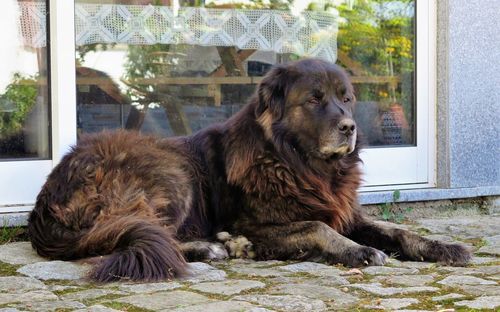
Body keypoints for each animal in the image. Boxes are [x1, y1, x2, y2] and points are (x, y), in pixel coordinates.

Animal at [27, 57, 472, 282]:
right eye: (314, 99)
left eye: (345, 98)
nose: (349, 127)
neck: (297, 163)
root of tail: (44, 200)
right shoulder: (259, 221)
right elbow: (318, 227)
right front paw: (359, 251)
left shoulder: (345, 211)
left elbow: (397, 230)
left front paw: (441, 247)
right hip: (173, 172)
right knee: (135, 235)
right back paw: (217, 246)